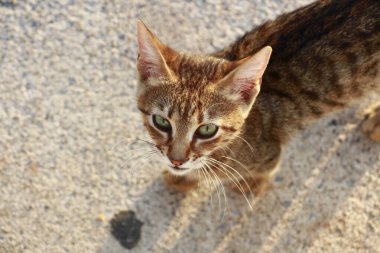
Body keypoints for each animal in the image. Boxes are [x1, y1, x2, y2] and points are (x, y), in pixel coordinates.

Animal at [135, 0, 378, 195]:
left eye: (207, 130)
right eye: (161, 122)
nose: (176, 160)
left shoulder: (270, 154)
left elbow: (263, 171)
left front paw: (250, 184)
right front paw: (182, 176)